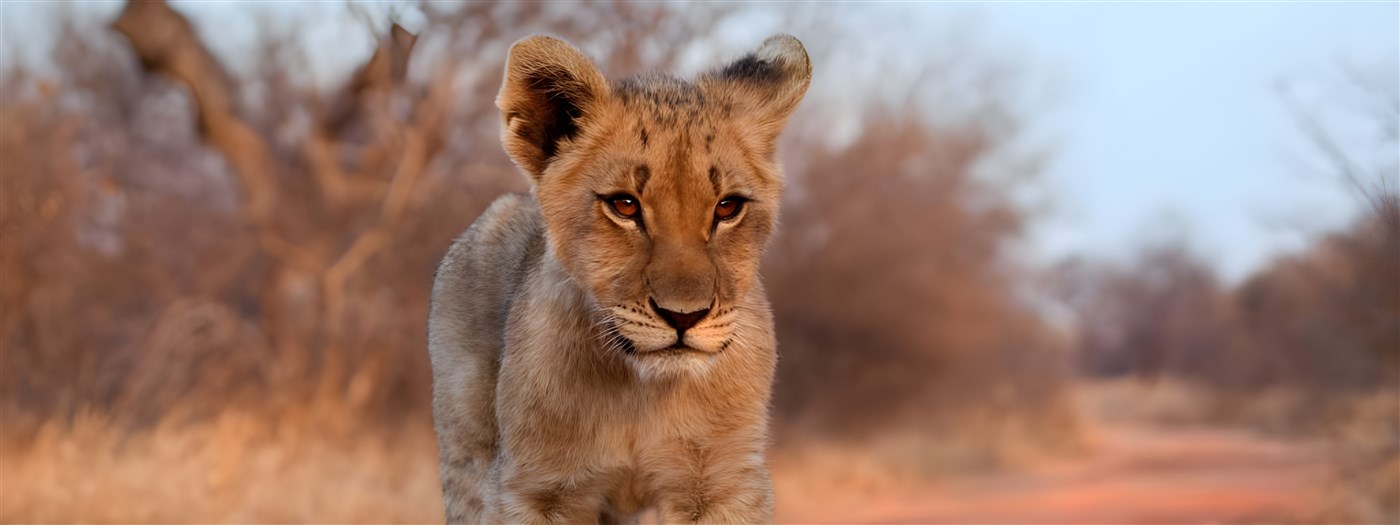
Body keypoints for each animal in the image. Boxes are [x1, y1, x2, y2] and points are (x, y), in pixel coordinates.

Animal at [427, 34, 811, 524]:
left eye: (727, 207)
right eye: (624, 205)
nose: (683, 317)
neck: (640, 394)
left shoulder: (725, 485)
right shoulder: (532, 488)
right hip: (466, 453)